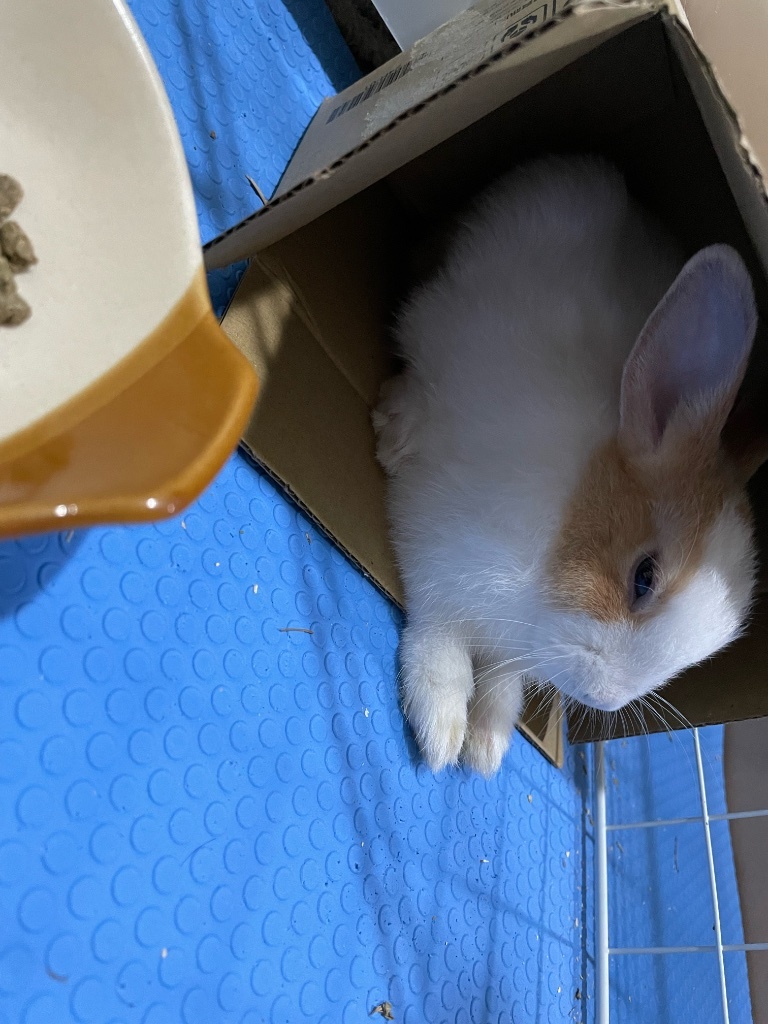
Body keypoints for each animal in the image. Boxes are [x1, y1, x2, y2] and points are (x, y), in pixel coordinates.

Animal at [373, 155, 766, 777]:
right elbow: (439, 638)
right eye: (644, 576)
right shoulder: (436, 552)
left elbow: (501, 680)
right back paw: (395, 426)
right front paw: (441, 731)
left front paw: (486, 744)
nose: (600, 698)